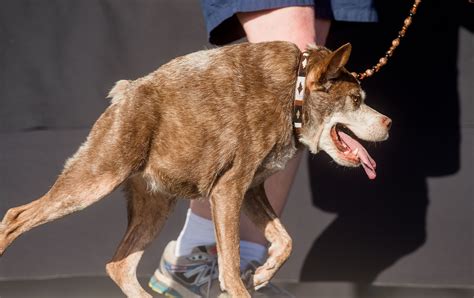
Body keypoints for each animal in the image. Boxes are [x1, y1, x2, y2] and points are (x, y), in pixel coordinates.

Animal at [0, 40, 390, 296]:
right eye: (356, 100)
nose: (388, 122)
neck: (292, 94)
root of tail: (124, 95)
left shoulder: (251, 189)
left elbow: (285, 240)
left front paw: (264, 273)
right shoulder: (227, 190)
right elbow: (231, 268)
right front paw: (245, 282)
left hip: (155, 205)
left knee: (119, 265)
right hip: (96, 178)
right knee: (15, 217)